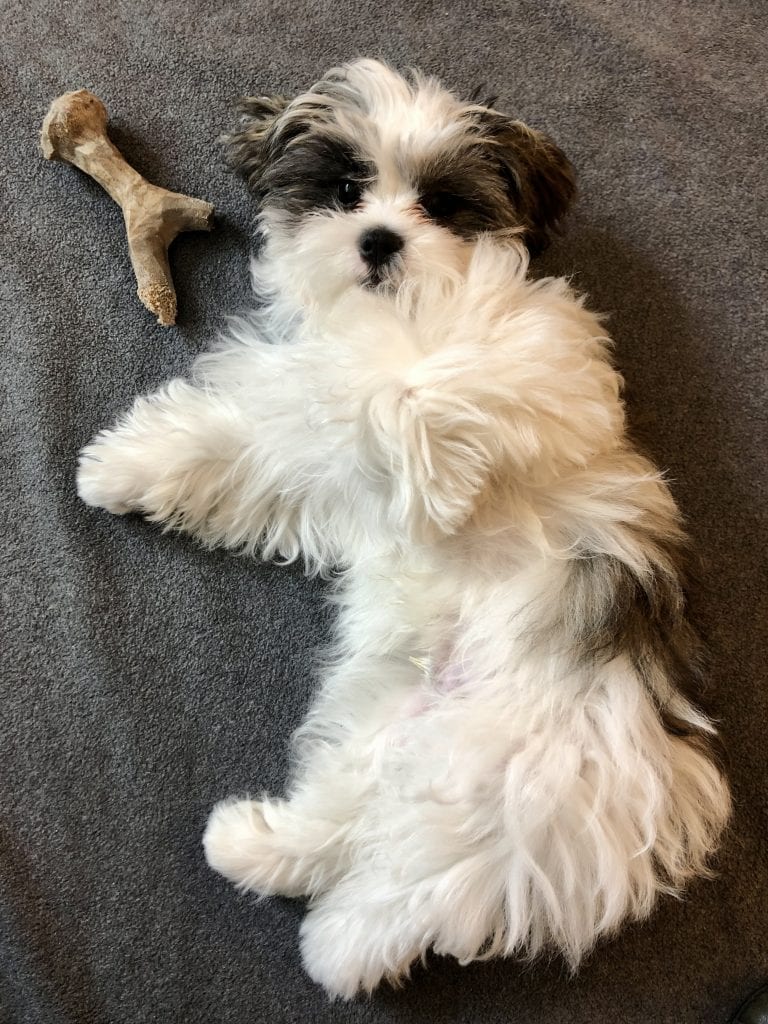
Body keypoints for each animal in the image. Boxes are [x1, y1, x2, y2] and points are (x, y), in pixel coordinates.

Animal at [78, 58, 733, 999]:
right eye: (348, 190)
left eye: (440, 204)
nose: (380, 240)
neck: (393, 315)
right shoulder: (307, 470)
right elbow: (247, 445)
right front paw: (122, 468)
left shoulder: (541, 362)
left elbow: (409, 387)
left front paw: (438, 478)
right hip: (382, 726)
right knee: (352, 827)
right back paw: (255, 847)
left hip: (508, 783)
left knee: (425, 883)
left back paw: (338, 948)